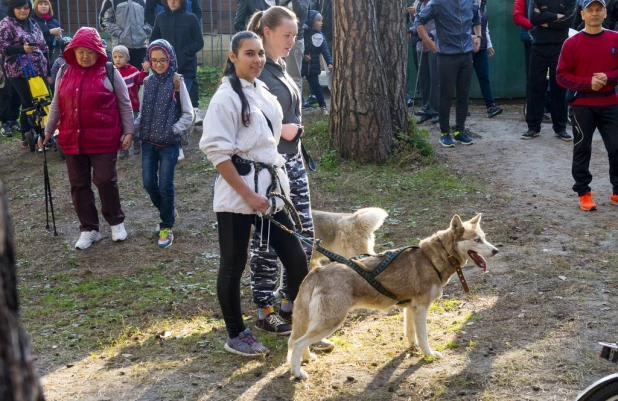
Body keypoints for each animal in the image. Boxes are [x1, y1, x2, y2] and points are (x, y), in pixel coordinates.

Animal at [288, 212, 496, 378]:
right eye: (477, 240)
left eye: (485, 237)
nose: (496, 250)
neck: (431, 259)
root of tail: (316, 273)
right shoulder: (421, 308)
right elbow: (424, 337)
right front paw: (428, 354)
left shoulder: (411, 308)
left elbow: (411, 334)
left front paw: (412, 349)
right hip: (331, 322)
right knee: (297, 343)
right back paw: (298, 373)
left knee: (298, 341)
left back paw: (308, 358)